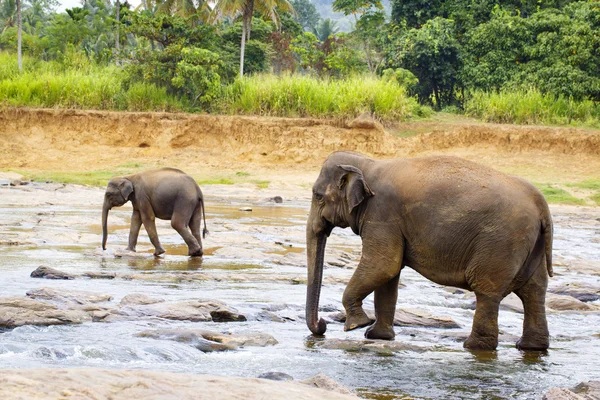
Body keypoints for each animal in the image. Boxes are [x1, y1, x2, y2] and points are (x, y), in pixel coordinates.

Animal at [304, 151, 552, 350]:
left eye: (317, 196)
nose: (322, 325)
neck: (367, 163)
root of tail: (541, 203)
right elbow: (389, 274)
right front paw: (376, 336)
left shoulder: (382, 213)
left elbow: (383, 264)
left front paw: (357, 325)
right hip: (531, 244)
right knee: (534, 291)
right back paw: (529, 347)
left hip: (501, 241)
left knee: (487, 290)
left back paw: (474, 347)